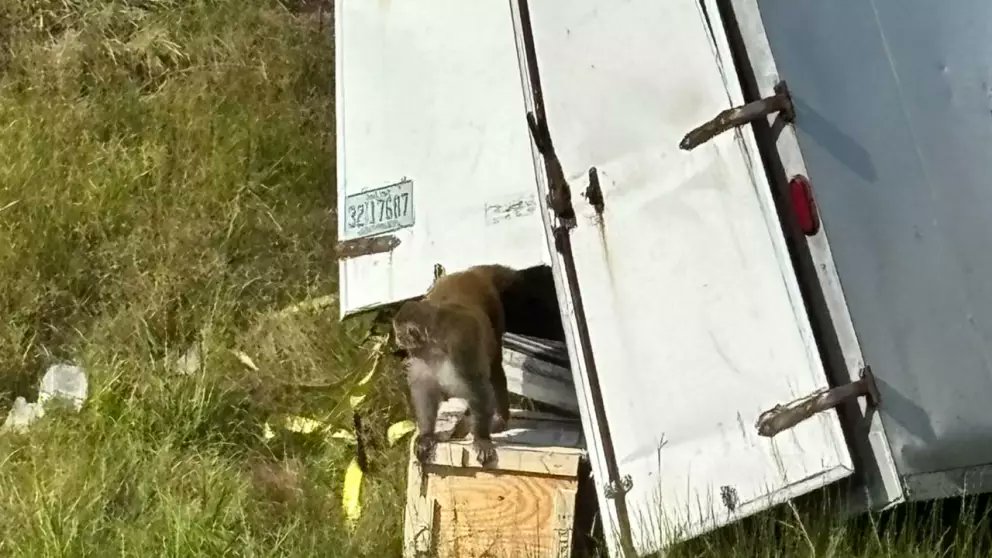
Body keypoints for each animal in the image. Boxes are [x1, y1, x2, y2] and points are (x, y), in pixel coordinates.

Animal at [392, 264, 519, 466]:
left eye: (399, 333)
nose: (396, 340)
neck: (434, 345)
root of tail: (470, 273)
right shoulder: (421, 358)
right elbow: (424, 390)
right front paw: (426, 434)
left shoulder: (461, 347)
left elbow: (478, 388)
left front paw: (481, 438)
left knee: (494, 369)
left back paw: (499, 418)